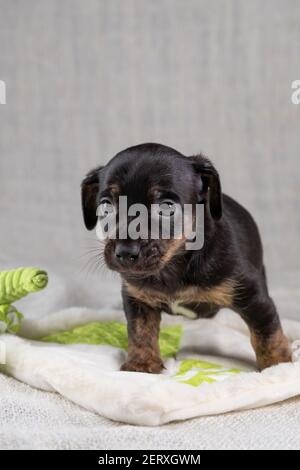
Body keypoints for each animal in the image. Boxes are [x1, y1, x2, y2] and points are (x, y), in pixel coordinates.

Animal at [81, 141, 292, 372]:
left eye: (167, 207)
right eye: (106, 205)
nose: (125, 252)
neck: (173, 264)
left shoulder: (253, 297)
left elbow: (268, 336)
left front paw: (278, 367)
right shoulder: (137, 298)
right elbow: (140, 331)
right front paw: (142, 363)